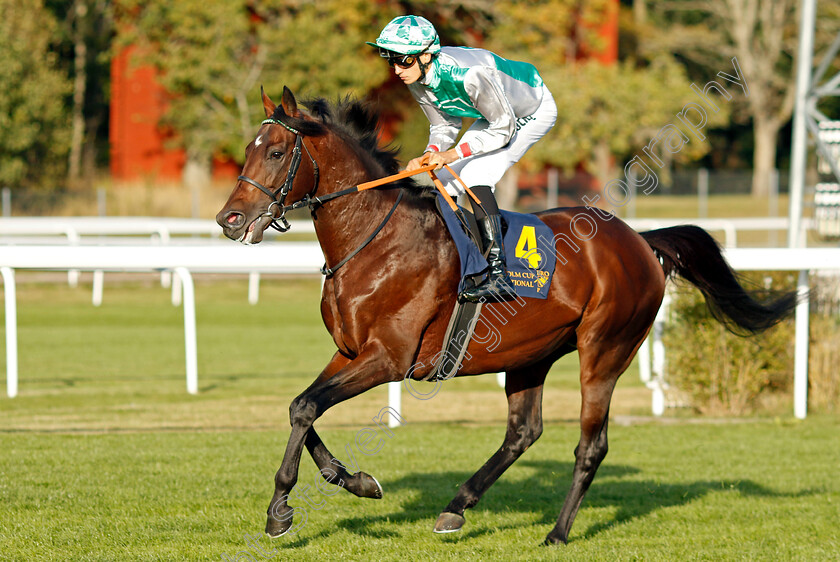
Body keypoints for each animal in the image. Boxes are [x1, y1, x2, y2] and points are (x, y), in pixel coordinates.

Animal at [215, 87, 796, 544]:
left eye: (275, 151)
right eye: (246, 150)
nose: (229, 219)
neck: (374, 241)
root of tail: (639, 240)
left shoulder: (388, 357)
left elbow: (309, 407)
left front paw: (279, 512)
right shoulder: (350, 352)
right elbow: (302, 407)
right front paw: (352, 481)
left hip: (605, 349)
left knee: (591, 444)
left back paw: (556, 533)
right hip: (530, 354)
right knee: (523, 432)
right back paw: (456, 507)